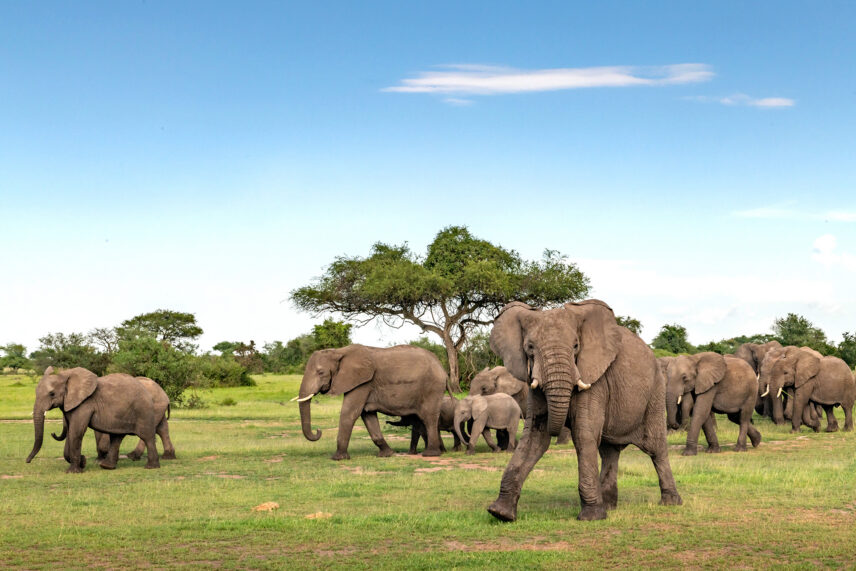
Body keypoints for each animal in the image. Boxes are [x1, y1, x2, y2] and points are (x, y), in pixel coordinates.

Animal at [26, 367, 160, 472]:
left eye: (52, 394)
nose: (27, 461)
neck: (66, 375)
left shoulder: (85, 404)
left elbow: (76, 432)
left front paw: (73, 471)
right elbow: (71, 432)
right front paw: (83, 462)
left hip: (143, 411)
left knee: (147, 436)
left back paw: (151, 467)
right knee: (116, 437)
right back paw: (107, 467)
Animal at [296, 344, 449, 460]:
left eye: (320, 372)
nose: (318, 430)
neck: (339, 351)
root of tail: (442, 368)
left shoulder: (363, 383)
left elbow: (349, 412)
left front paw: (338, 458)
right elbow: (367, 415)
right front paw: (387, 454)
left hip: (432, 388)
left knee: (428, 417)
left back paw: (430, 454)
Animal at [486, 299, 682, 522]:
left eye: (576, 346)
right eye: (529, 347)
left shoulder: (594, 379)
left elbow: (583, 435)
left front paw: (591, 517)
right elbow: (534, 438)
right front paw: (500, 513)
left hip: (655, 391)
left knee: (655, 448)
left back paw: (671, 502)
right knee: (609, 452)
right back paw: (609, 506)